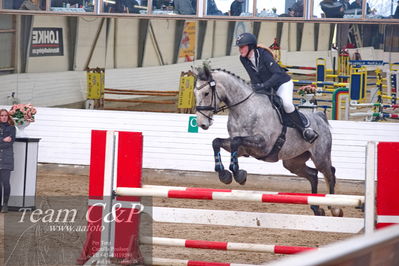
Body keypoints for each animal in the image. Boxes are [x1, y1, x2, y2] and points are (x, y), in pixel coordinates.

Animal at [192, 64, 342, 216]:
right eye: (194, 93)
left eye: (206, 93)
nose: (201, 124)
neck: (243, 109)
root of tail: (320, 118)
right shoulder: (242, 149)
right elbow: (217, 142)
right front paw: (225, 175)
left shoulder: (263, 145)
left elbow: (236, 141)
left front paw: (238, 174)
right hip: (292, 162)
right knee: (313, 175)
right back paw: (317, 208)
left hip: (320, 157)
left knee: (330, 173)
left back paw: (335, 208)